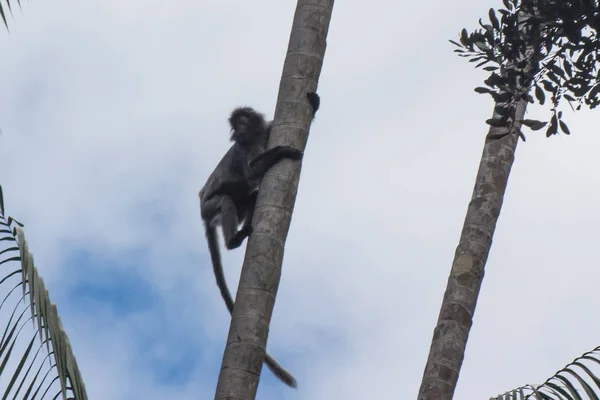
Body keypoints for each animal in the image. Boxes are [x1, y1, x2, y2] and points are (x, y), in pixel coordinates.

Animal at [199, 91, 322, 388]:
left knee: (252, 196)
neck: (252, 137)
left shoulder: (267, 131)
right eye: (236, 123)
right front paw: (282, 152)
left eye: (243, 119)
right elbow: (253, 169)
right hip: (210, 206)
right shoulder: (246, 148)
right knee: (225, 199)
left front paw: (314, 103)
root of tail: (200, 208)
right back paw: (234, 240)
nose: (239, 127)